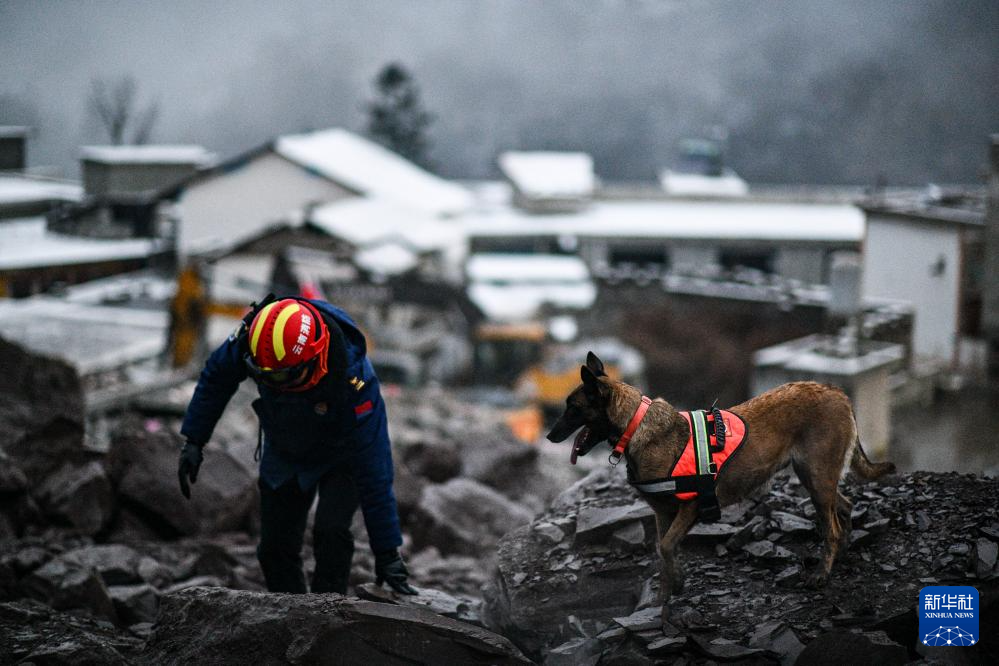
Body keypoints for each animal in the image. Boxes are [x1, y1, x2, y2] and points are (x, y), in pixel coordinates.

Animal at [548, 352, 900, 624]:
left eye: (572, 408)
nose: (550, 436)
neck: (635, 426)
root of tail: (837, 391)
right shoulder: (663, 514)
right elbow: (663, 552)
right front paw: (664, 595)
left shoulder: (689, 507)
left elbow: (667, 547)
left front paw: (676, 584)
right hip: (814, 478)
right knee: (845, 508)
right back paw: (845, 551)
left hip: (816, 478)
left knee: (832, 527)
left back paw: (822, 574)